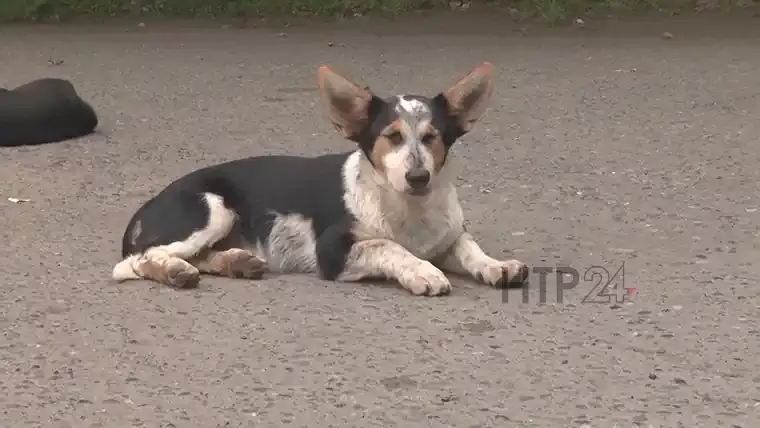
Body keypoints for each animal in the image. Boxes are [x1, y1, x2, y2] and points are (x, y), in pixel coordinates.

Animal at [113, 63, 528, 296]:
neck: (409, 208)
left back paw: (236, 262)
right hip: (213, 208)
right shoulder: (332, 252)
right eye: (391, 137)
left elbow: (468, 246)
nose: (418, 176)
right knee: (139, 261)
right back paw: (175, 271)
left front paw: (497, 265)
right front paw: (423, 271)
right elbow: (390, 247)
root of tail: (146, 207)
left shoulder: (447, 236)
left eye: (432, 137)